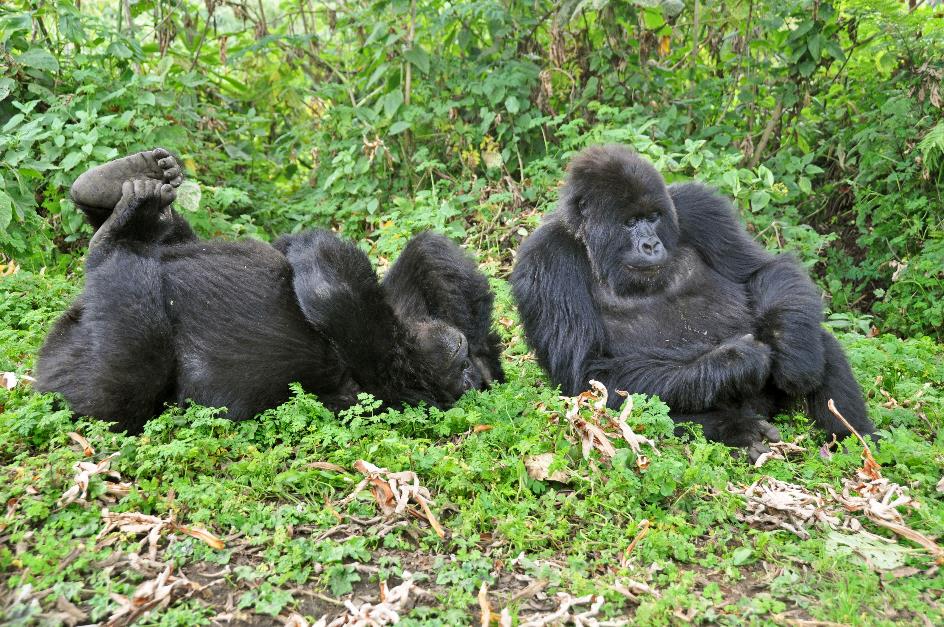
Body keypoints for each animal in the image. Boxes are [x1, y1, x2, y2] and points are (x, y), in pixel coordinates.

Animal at [38, 150, 502, 434]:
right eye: (462, 365)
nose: (466, 369)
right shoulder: (405, 308)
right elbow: (428, 252)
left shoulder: (396, 367)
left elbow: (328, 289)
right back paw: (126, 188)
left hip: (90, 357)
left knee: (122, 383)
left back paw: (114, 238)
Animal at [512, 147, 872, 462]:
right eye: (630, 223)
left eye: (653, 217)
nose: (650, 244)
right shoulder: (546, 260)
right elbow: (589, 375)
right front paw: (734, 362)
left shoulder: (698, 208)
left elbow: (761, 270)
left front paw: (795, 358)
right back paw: (738, 431)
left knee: (812, 334)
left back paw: (856, 442)